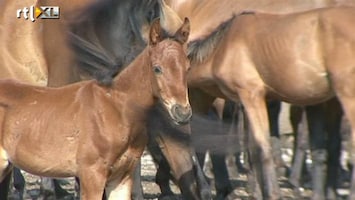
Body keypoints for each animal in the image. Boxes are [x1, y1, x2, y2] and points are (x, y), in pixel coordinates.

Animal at [0, 18, 192, 199]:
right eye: (157, 68)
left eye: (187, 68)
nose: (182, 112)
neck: (116, 109)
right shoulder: (91, 174)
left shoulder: (122, 177)